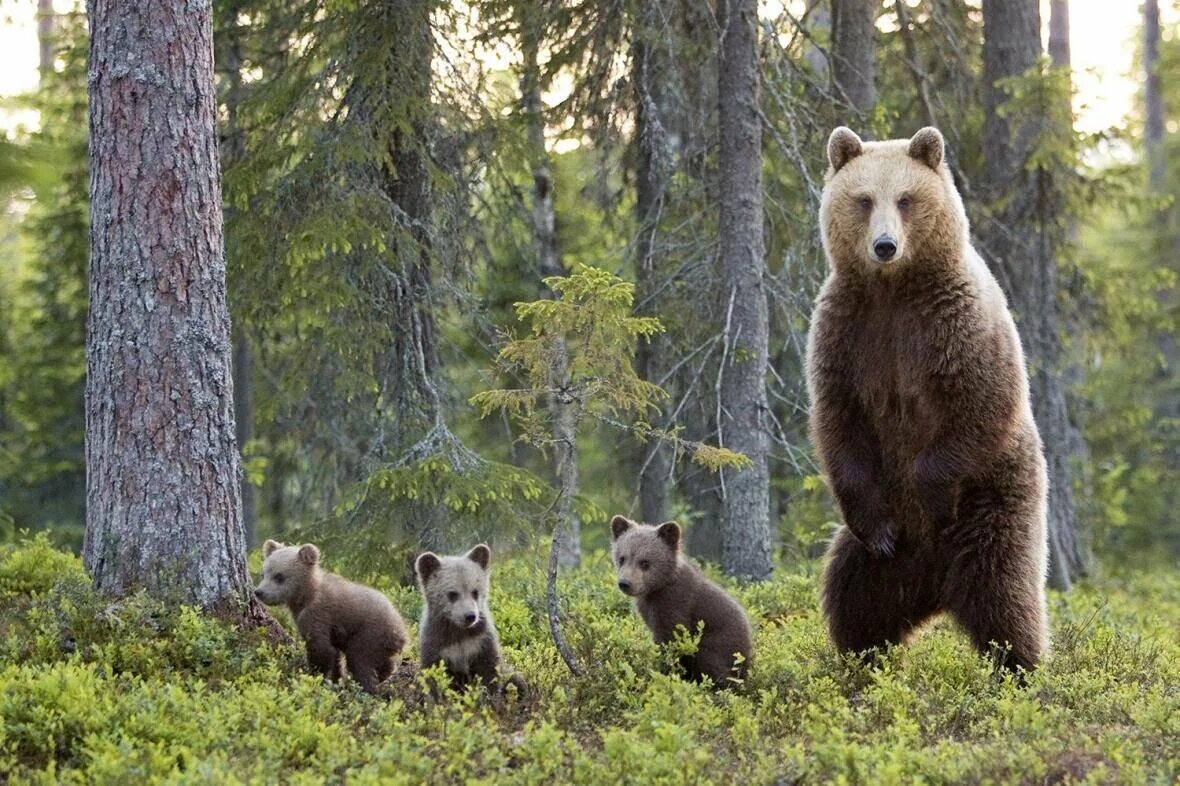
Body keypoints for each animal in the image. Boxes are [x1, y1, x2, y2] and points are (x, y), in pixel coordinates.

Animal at [807, 125, 1047, 670]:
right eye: (864, 199)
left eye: (906, 198)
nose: (885, 245)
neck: (895, 292)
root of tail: (934, 584)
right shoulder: (847, 333)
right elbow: (839, 420)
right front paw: (880, 528)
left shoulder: (958, 326)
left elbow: (981, 404)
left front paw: (932, 498)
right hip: (872, 563)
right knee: (853, 599)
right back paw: (863, 661)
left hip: (997, 503)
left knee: (1003, 595)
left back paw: (1021, 669)